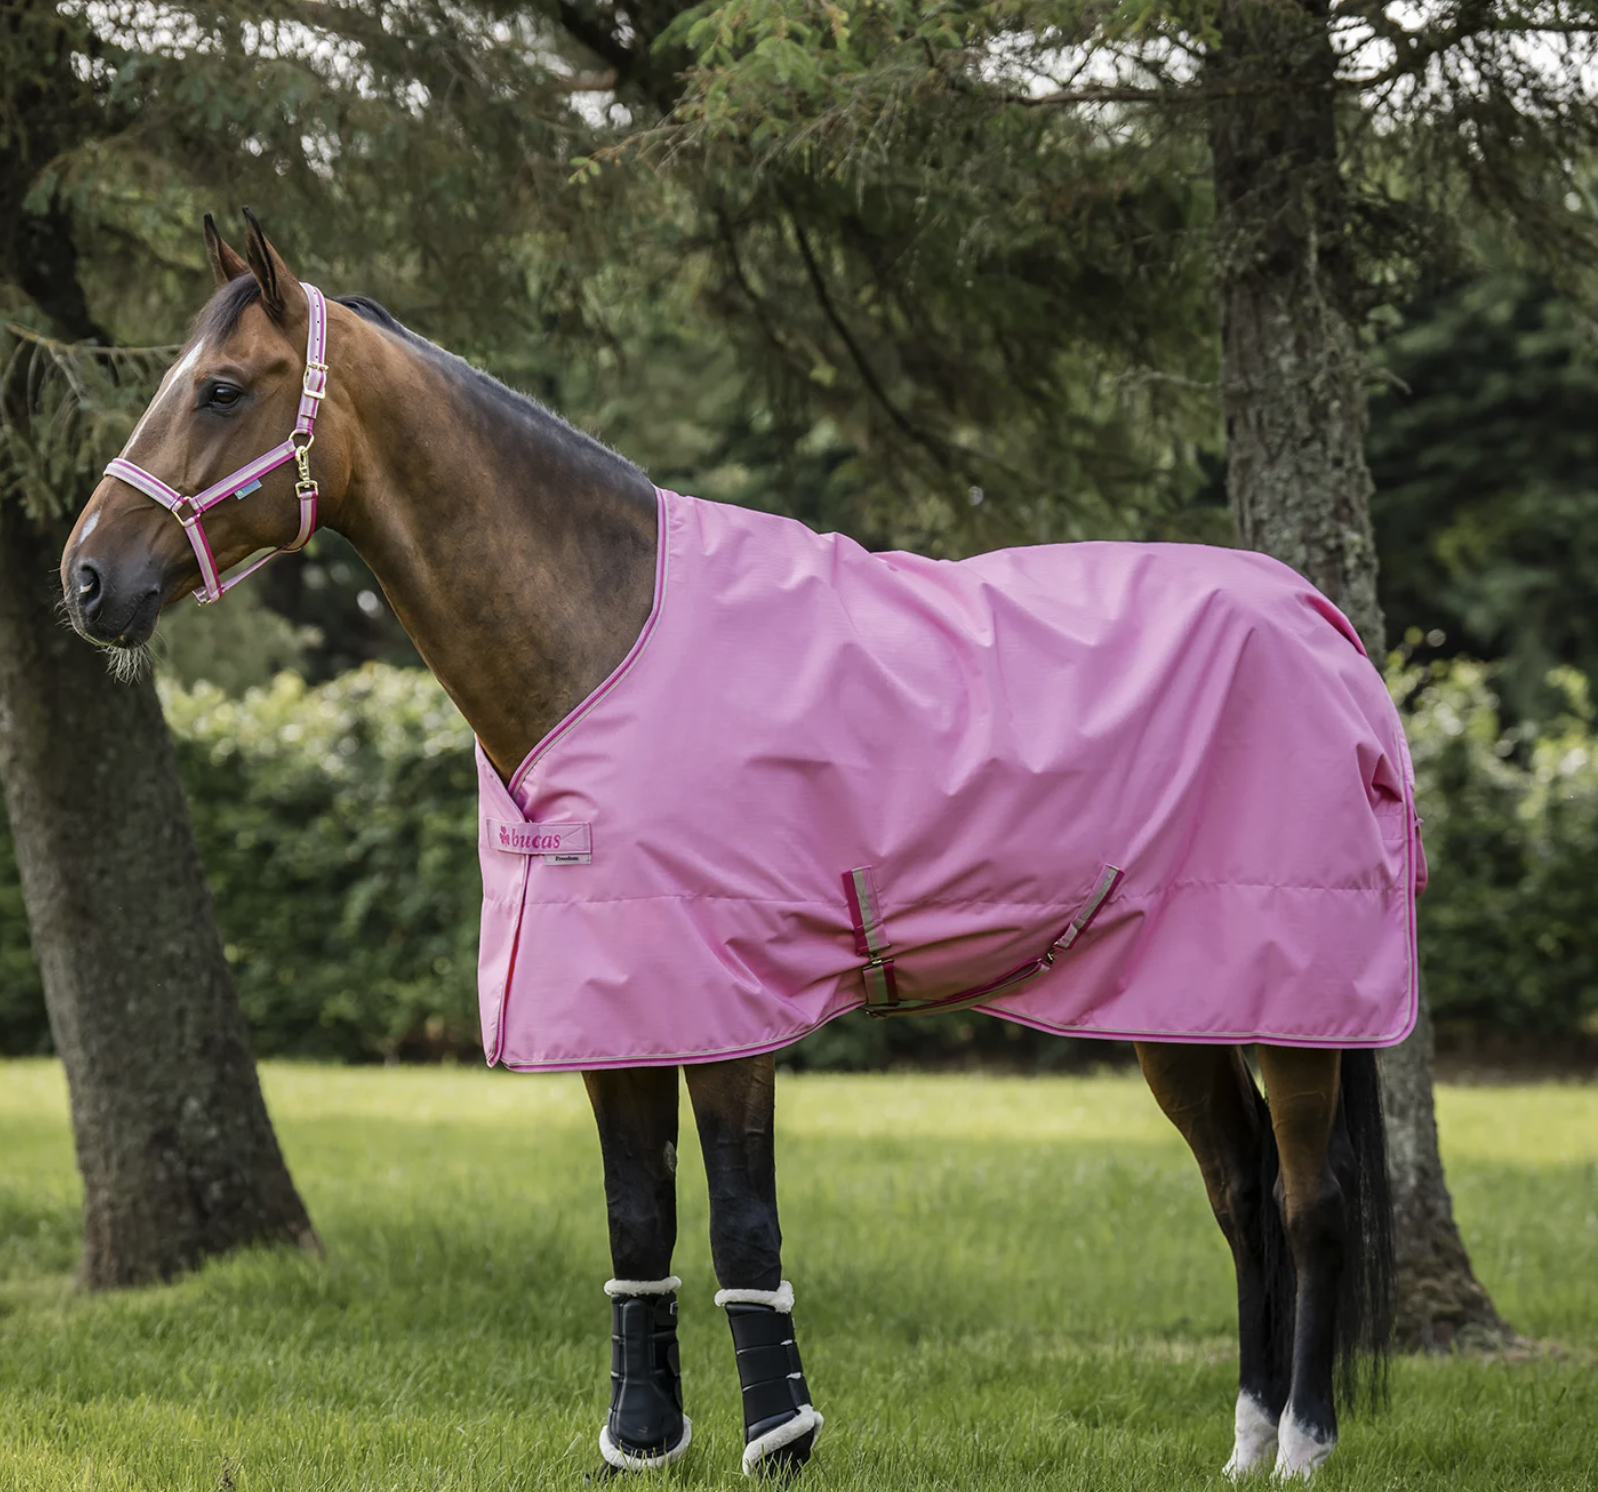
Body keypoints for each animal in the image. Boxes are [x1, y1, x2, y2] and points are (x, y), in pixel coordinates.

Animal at [61, 211, 1403, 1481]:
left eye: (220, 387)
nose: (83, 579)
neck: (602, 636)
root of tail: (1317, 620)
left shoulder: (728, 1012)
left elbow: (741, 1225)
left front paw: (781, 1440)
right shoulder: (611, 1012)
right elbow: (636, 1222)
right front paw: (643, 1440)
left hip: (1296, 1009)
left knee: (1309, 1202)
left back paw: (1303, 1446)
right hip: (1177, 1007)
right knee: (1239, 1198)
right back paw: (1243, 1442)